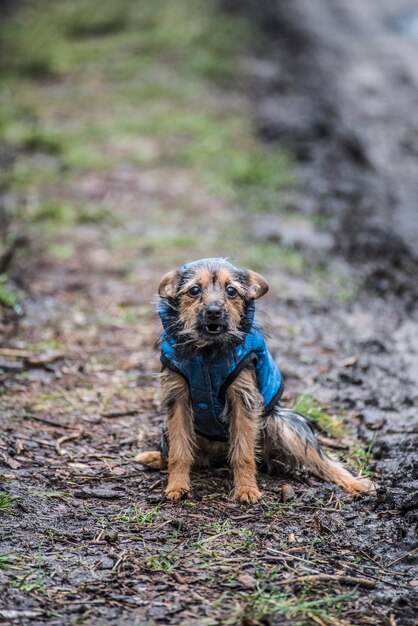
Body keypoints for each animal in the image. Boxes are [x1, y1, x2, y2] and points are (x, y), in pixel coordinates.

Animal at [136, 256, 372, 500]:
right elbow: (179, 451)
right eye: (194, 290)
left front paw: (247, 489)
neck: (209, 352)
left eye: (231, 290)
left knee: (322, 460)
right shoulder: (178, 398)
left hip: (283, 425)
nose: (214, 311)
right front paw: (176, 486)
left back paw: (354, 483)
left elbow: (243, 453)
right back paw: (155, 458)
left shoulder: (244, 398)